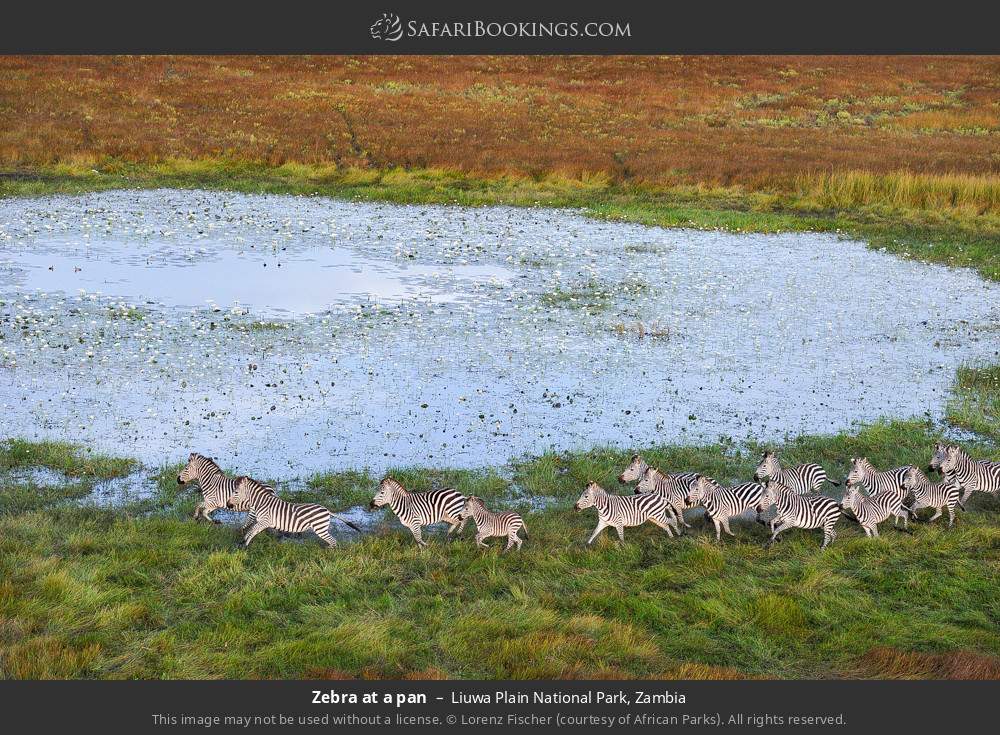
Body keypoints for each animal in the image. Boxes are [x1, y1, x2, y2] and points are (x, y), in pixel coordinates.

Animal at [226, 476, 360, 547]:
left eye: (236, 492)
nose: (228, 505)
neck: (261, 503)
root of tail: (326, 509)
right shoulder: (262, 522)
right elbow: (251, 530)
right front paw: (243, 542)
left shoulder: (265, 521)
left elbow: (252, 531)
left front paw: (245, 545)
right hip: (321, 528)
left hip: (320, 529)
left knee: (333, 541)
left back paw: (328, 551)